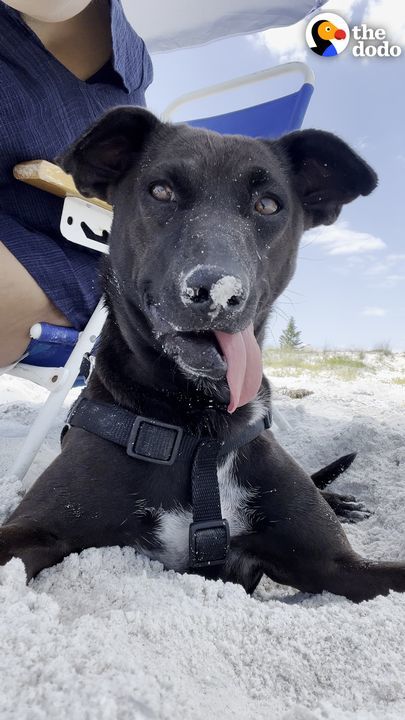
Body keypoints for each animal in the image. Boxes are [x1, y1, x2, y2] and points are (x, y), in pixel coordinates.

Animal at [1, 107, 402, 600]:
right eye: (161, 191)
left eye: (268, 205)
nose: (217, 290)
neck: (201, 424)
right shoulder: (34, 530)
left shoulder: (336, 565)